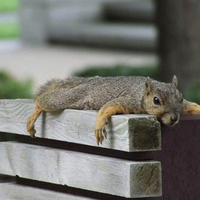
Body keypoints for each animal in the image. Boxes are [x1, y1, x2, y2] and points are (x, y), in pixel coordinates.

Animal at [26, 76, 200, 145]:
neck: (141, 95)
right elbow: (108, 107)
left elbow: (192, 106)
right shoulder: (128, 101)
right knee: (44, 101)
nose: (174, 118)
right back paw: (34, 114)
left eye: (181, 98)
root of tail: (88, 82)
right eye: (156, 100)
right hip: (70, 98)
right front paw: (99, 124)